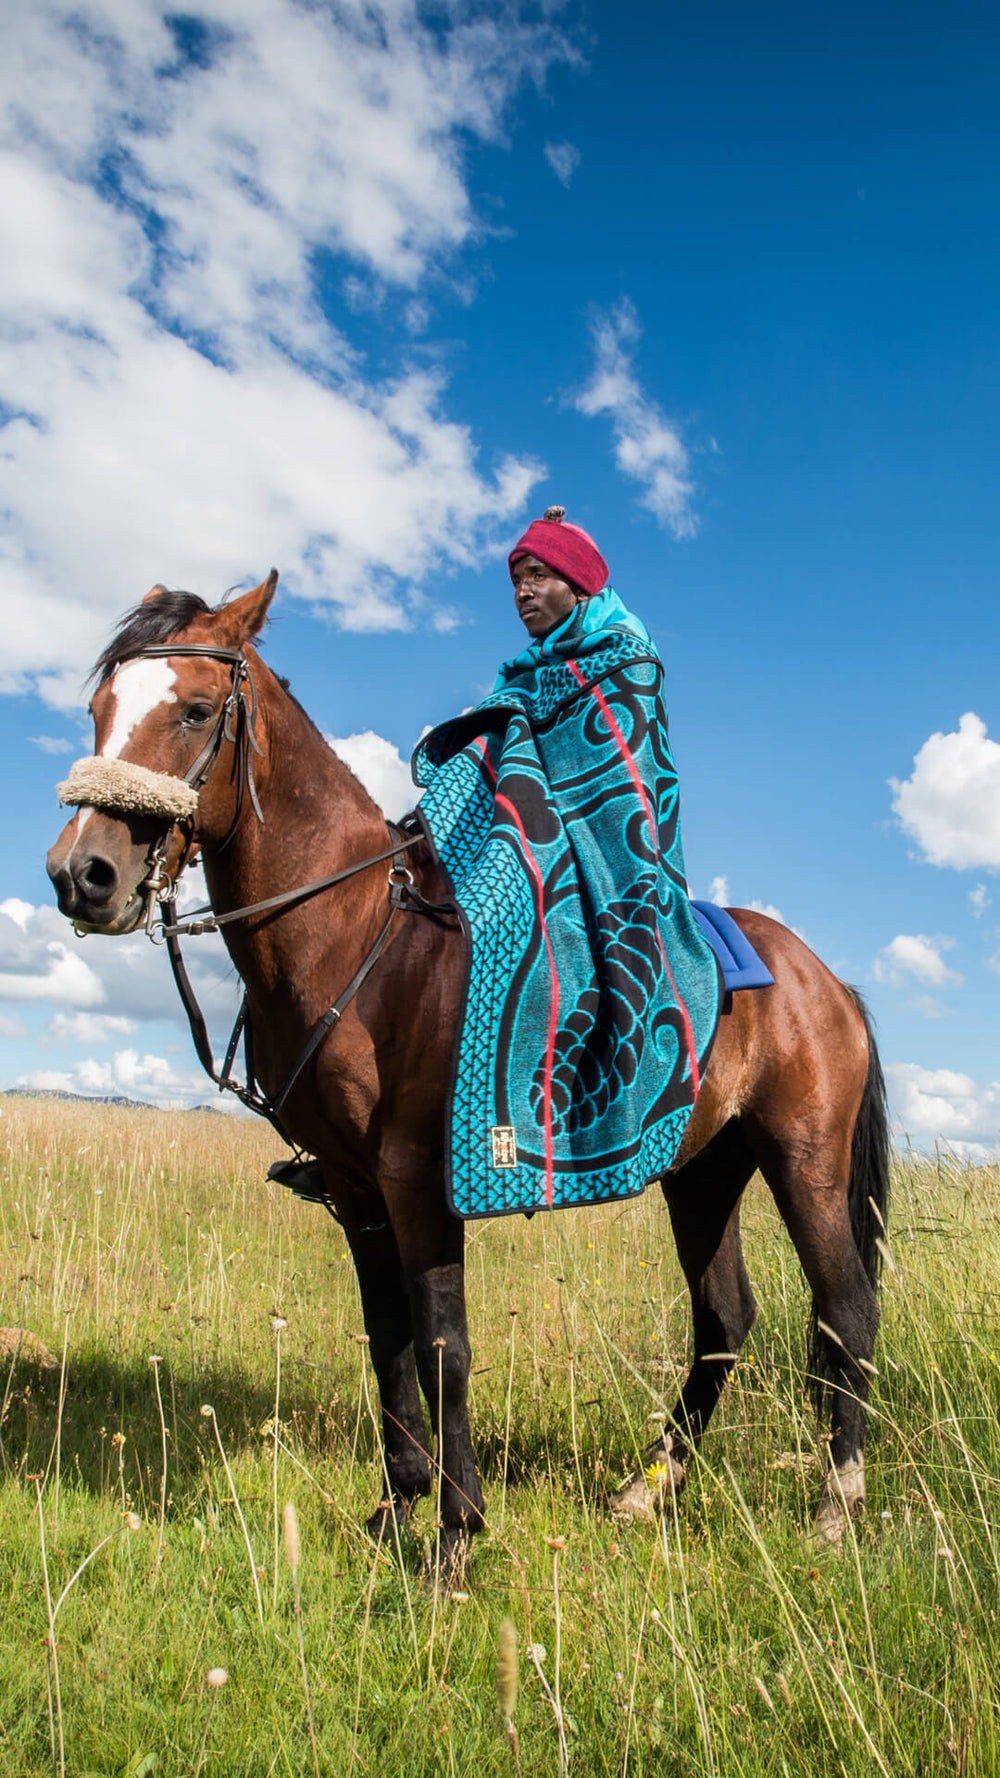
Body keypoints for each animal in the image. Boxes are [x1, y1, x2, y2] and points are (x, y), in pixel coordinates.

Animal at [46, 576, 886, 1564]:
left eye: (195, 710)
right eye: (99, 709)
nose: (82, 874)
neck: (358, 934)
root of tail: (824, 979)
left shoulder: (419, 1181)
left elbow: (443, 1342)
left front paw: (455, 1534)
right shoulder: (355, 1187)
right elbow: (387, 1337)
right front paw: (398, 1504)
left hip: (804, 1158)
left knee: (844, 1309)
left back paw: (837, 1502)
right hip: (704, 1171)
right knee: (724, 1318)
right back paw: (648, 1490)